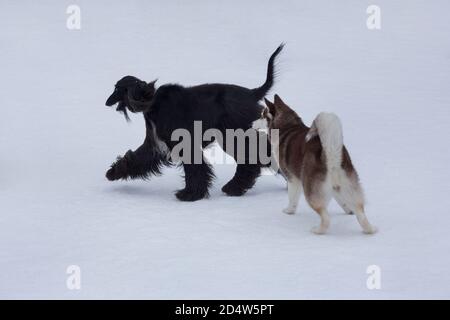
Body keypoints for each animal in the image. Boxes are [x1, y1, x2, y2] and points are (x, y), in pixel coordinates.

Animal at [103, 44, 284, 201]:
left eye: (117, 88)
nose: (106, 102)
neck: (152, 102)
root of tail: (253, 94)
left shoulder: (184, 143)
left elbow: (195, 168)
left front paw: (190, 194)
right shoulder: (155, 145)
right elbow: (136, 158)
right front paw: (113, 172)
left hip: (234, 134)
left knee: (252, 160)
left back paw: (233, 187)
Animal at [256, 95, 376, 235]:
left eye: (262, 115)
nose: (252, 123)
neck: (288, 126)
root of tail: (330, 154)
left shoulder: (292, 179)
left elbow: (292, 199)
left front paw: (289, 211)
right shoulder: (335, 187)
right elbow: (342, 201)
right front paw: (348, 210)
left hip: (310, 191)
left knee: (326, 217)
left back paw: (318, 230)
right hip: (349, 185)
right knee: (360, 211)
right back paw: (369, 229)